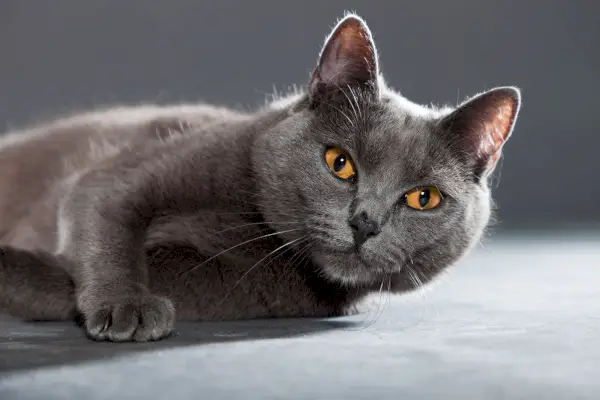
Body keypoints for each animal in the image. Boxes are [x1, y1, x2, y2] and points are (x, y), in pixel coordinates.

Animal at [0, 14, 520, 342]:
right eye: (340, 163)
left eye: (422, 199)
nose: (365, 222)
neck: (250, 225)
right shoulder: (127, 172)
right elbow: (106, 215)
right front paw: (124, 304)